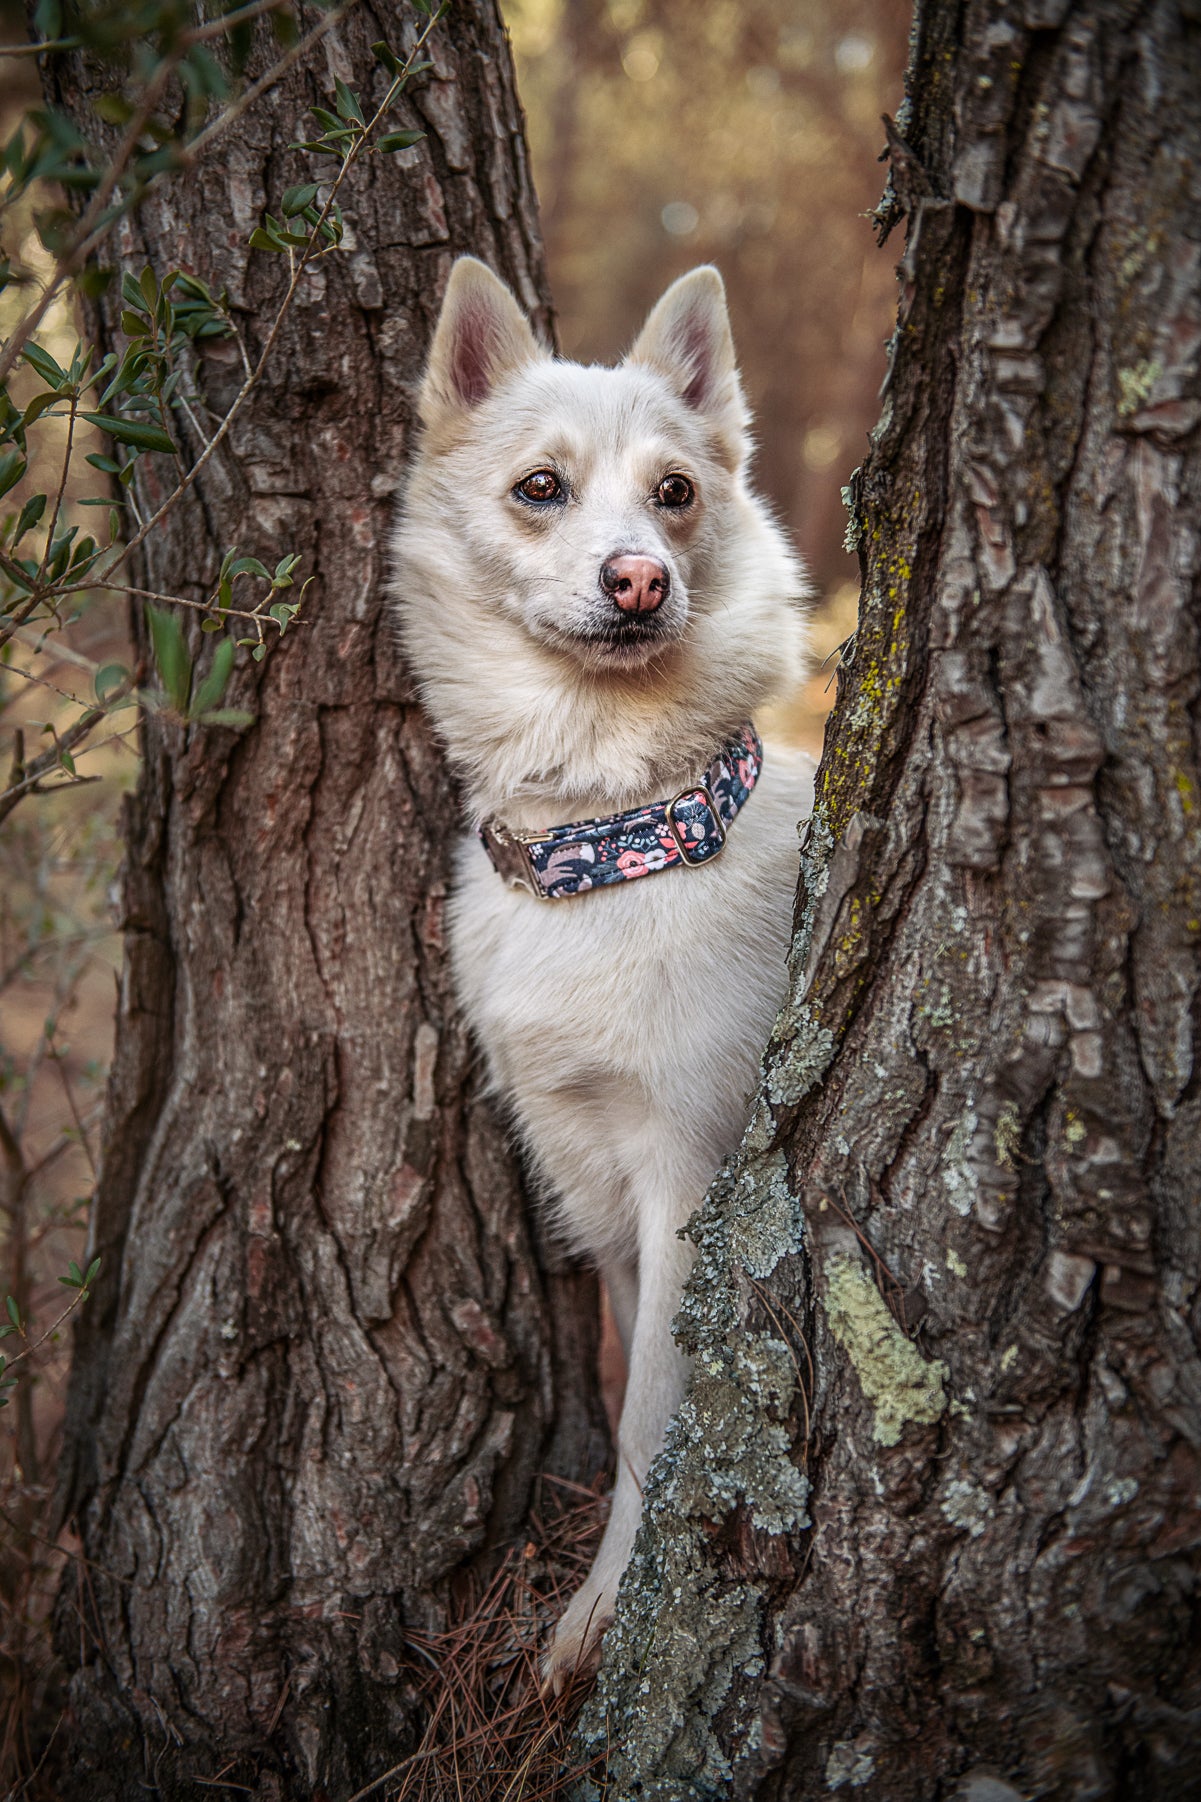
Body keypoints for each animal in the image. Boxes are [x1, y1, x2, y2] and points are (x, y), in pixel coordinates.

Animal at [393, 257, 815, 1686]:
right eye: (541, 487)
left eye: (676, 493)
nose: (638, 579)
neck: (612, 836)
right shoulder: (595, 1182)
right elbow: (636, 1385)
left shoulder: (683, 1174)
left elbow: (648, 1423)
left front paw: (598, 1619)